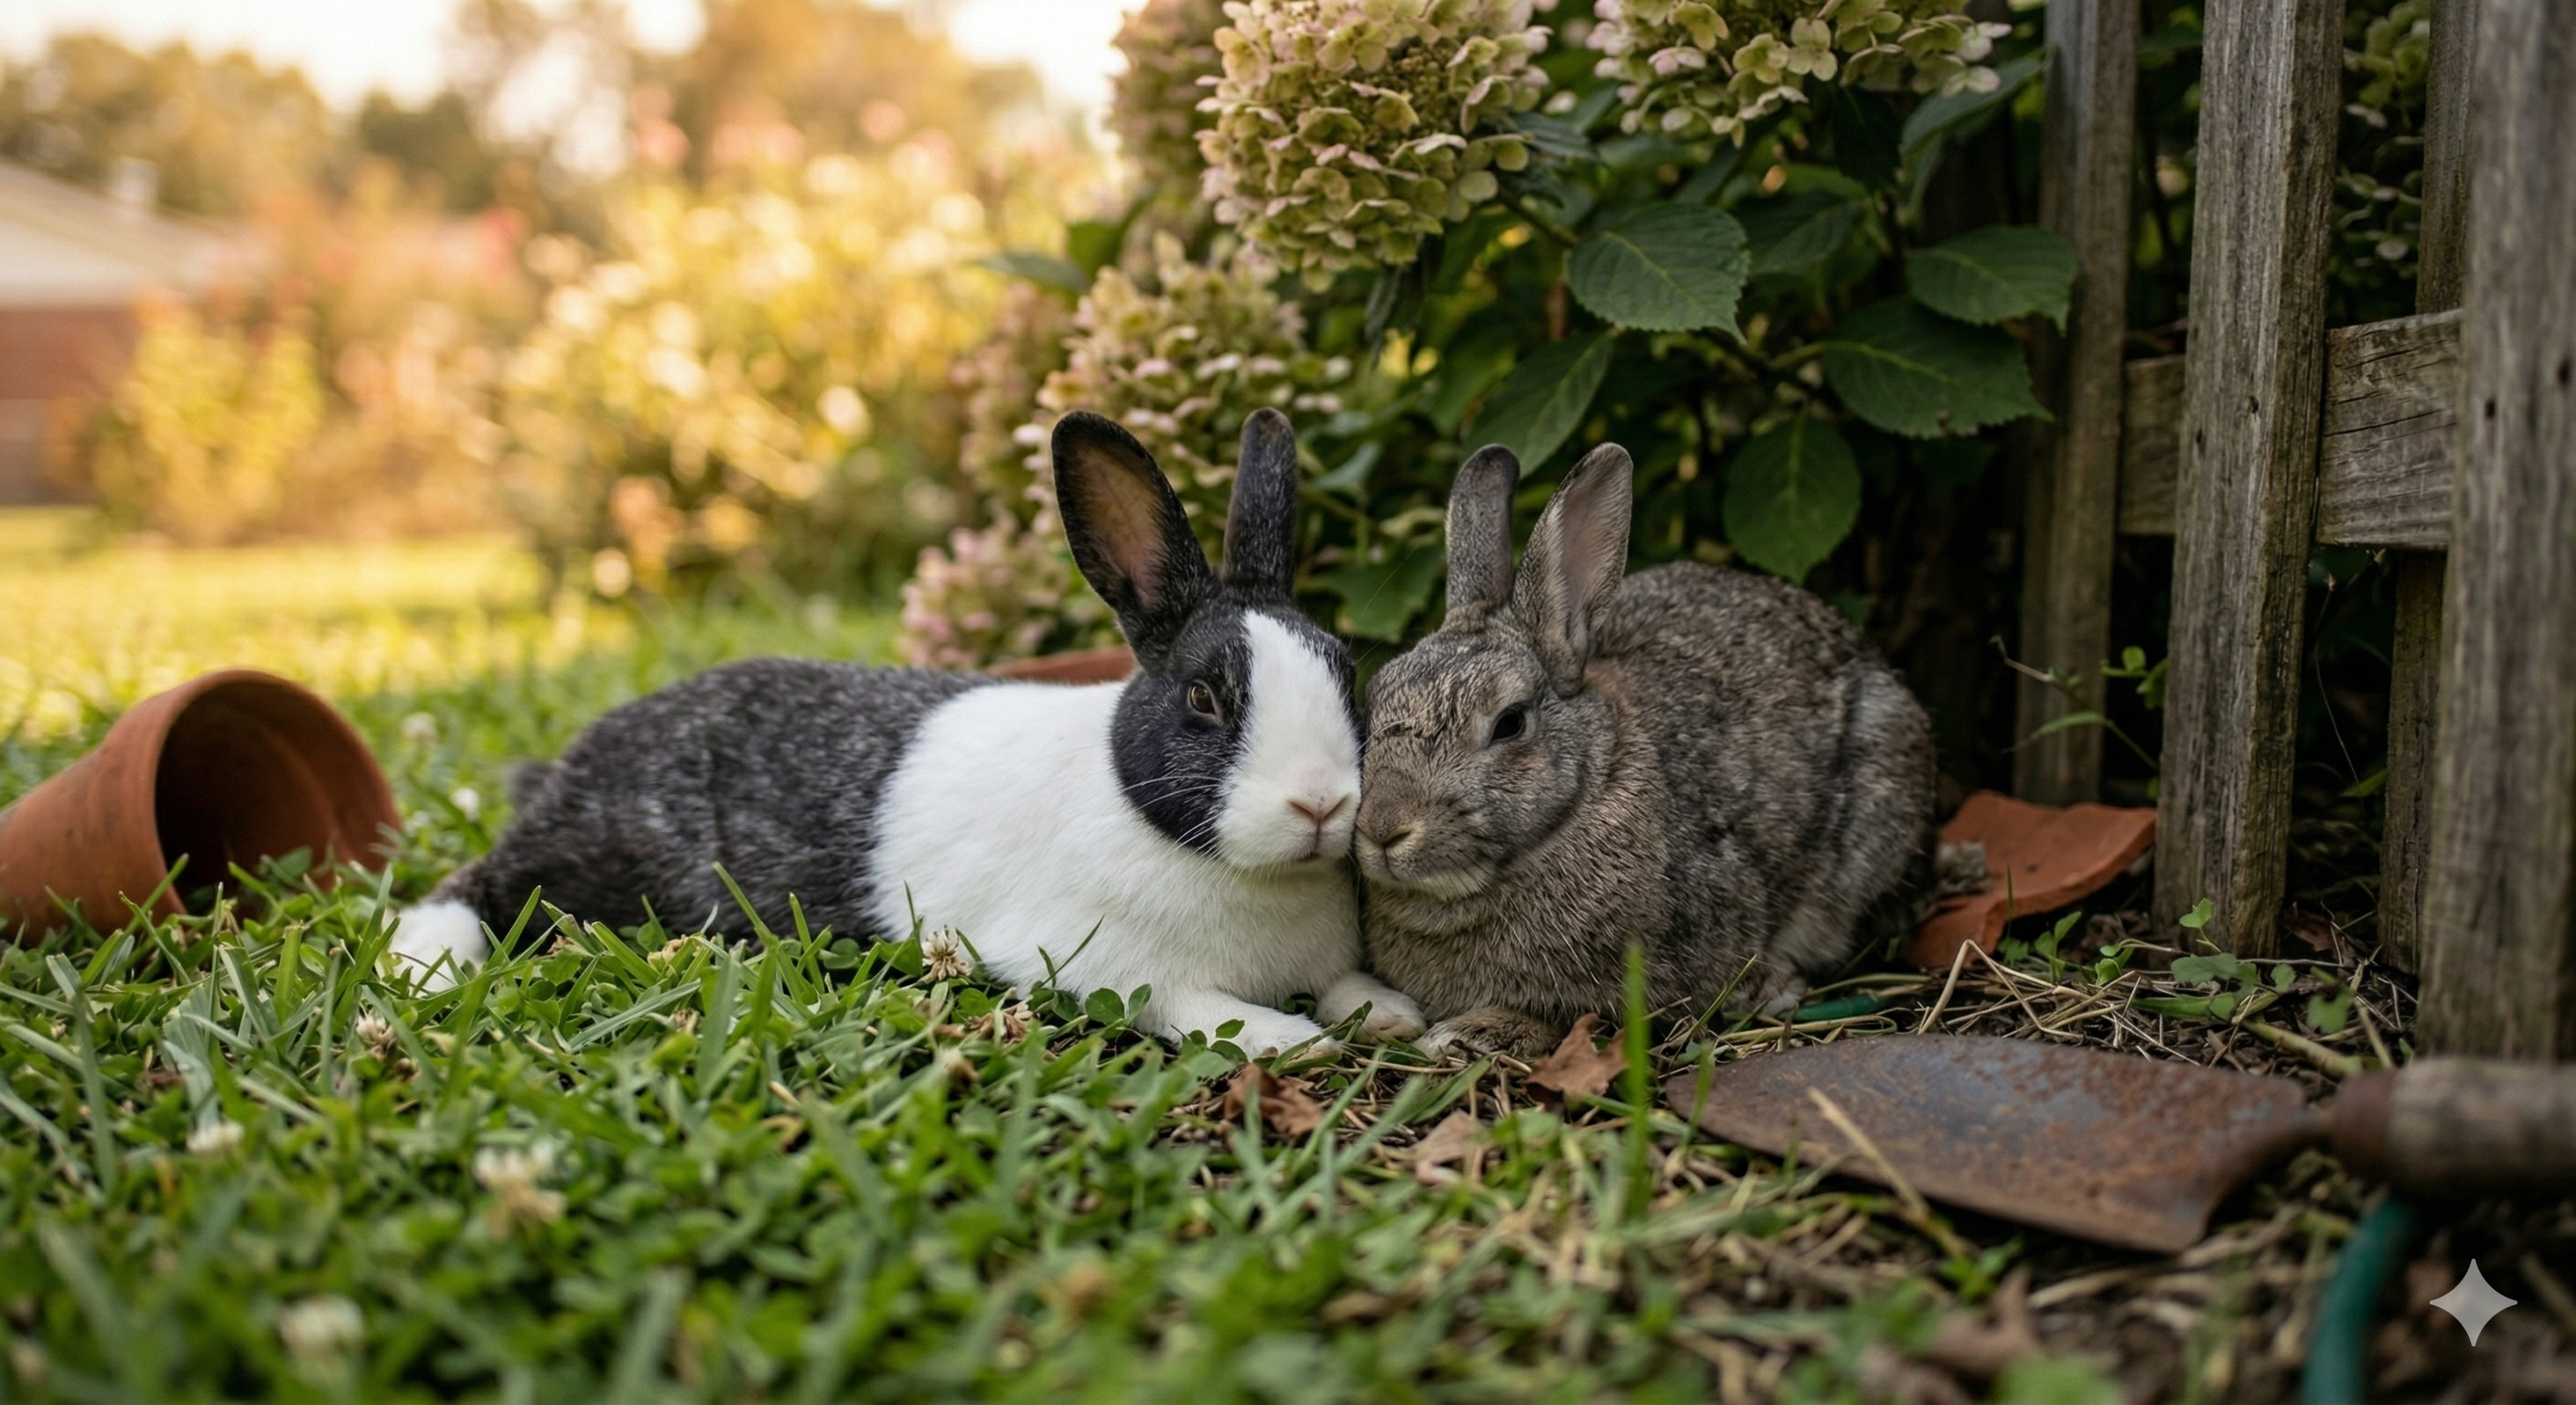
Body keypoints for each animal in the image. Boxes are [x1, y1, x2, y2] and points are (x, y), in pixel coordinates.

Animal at [391, 408, 1424, 1055]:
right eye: (1206, 699)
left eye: (1344, 670)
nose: (1321, 805)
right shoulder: (1101, 962)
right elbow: (1196, 1008)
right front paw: (1287, 1040)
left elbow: (1348, 987)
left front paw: (1390, 1013)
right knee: (474, 884)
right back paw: (425, 968)